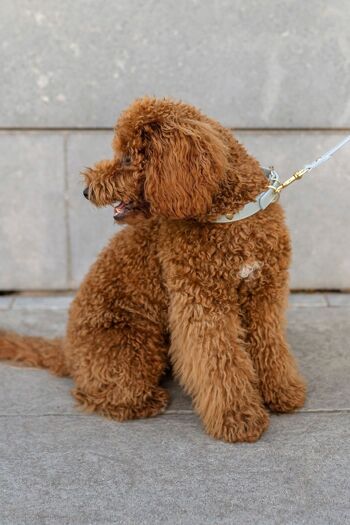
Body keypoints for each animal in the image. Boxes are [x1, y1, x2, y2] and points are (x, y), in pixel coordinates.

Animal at [0, 96, 304, 440]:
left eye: (128, 157)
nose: (86, 191)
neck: (231, 217)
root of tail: (67, 351)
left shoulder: (264, 295)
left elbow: (269, 344)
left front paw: (281, 392)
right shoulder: (202, 303)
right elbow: (219, 360)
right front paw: (238, 417)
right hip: (134, 347)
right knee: (94, 392)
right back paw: (147, 402)